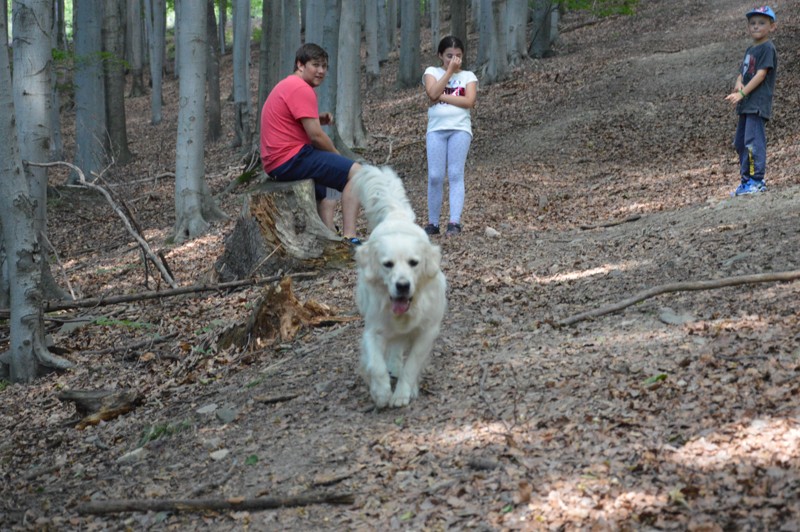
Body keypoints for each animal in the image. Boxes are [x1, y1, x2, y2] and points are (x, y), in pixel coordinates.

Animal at [354, 166, 446, 408]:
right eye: (387, 264)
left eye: (414, 262)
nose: (402, 286)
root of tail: (395, 215)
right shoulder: (374, 329)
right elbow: (376, 364)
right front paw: (381, 392)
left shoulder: (427, 331)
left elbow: (412, 365)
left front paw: (403, 392)